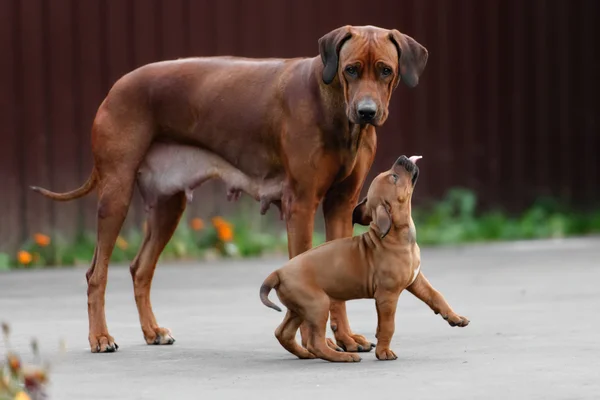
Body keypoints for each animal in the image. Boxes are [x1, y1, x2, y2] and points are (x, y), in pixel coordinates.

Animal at [30, 25, 428, 354]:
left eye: (385, 70)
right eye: (350, 69)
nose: (366, 112)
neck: (334, 107)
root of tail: (117, 84)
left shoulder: (341, 204)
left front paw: (344, 338)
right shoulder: (300, 203)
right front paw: (317, 342)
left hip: (169, 203)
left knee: (140, 268)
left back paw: (152, 331)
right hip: (116, 191)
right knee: (96, 273)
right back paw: (99, 337)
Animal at [258, 156, 468, 362]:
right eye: (394, 177)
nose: (401, 158)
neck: (396, 235)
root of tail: (277, 272)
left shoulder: (416, 280)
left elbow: (436, 296)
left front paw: (454, 317)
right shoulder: (387, 296)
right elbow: (388, 325)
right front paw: (384, 352)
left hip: (299, 308)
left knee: (283, 332)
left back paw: (304, 353)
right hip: (318, 304)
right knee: (315, 342)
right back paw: (343, 356)